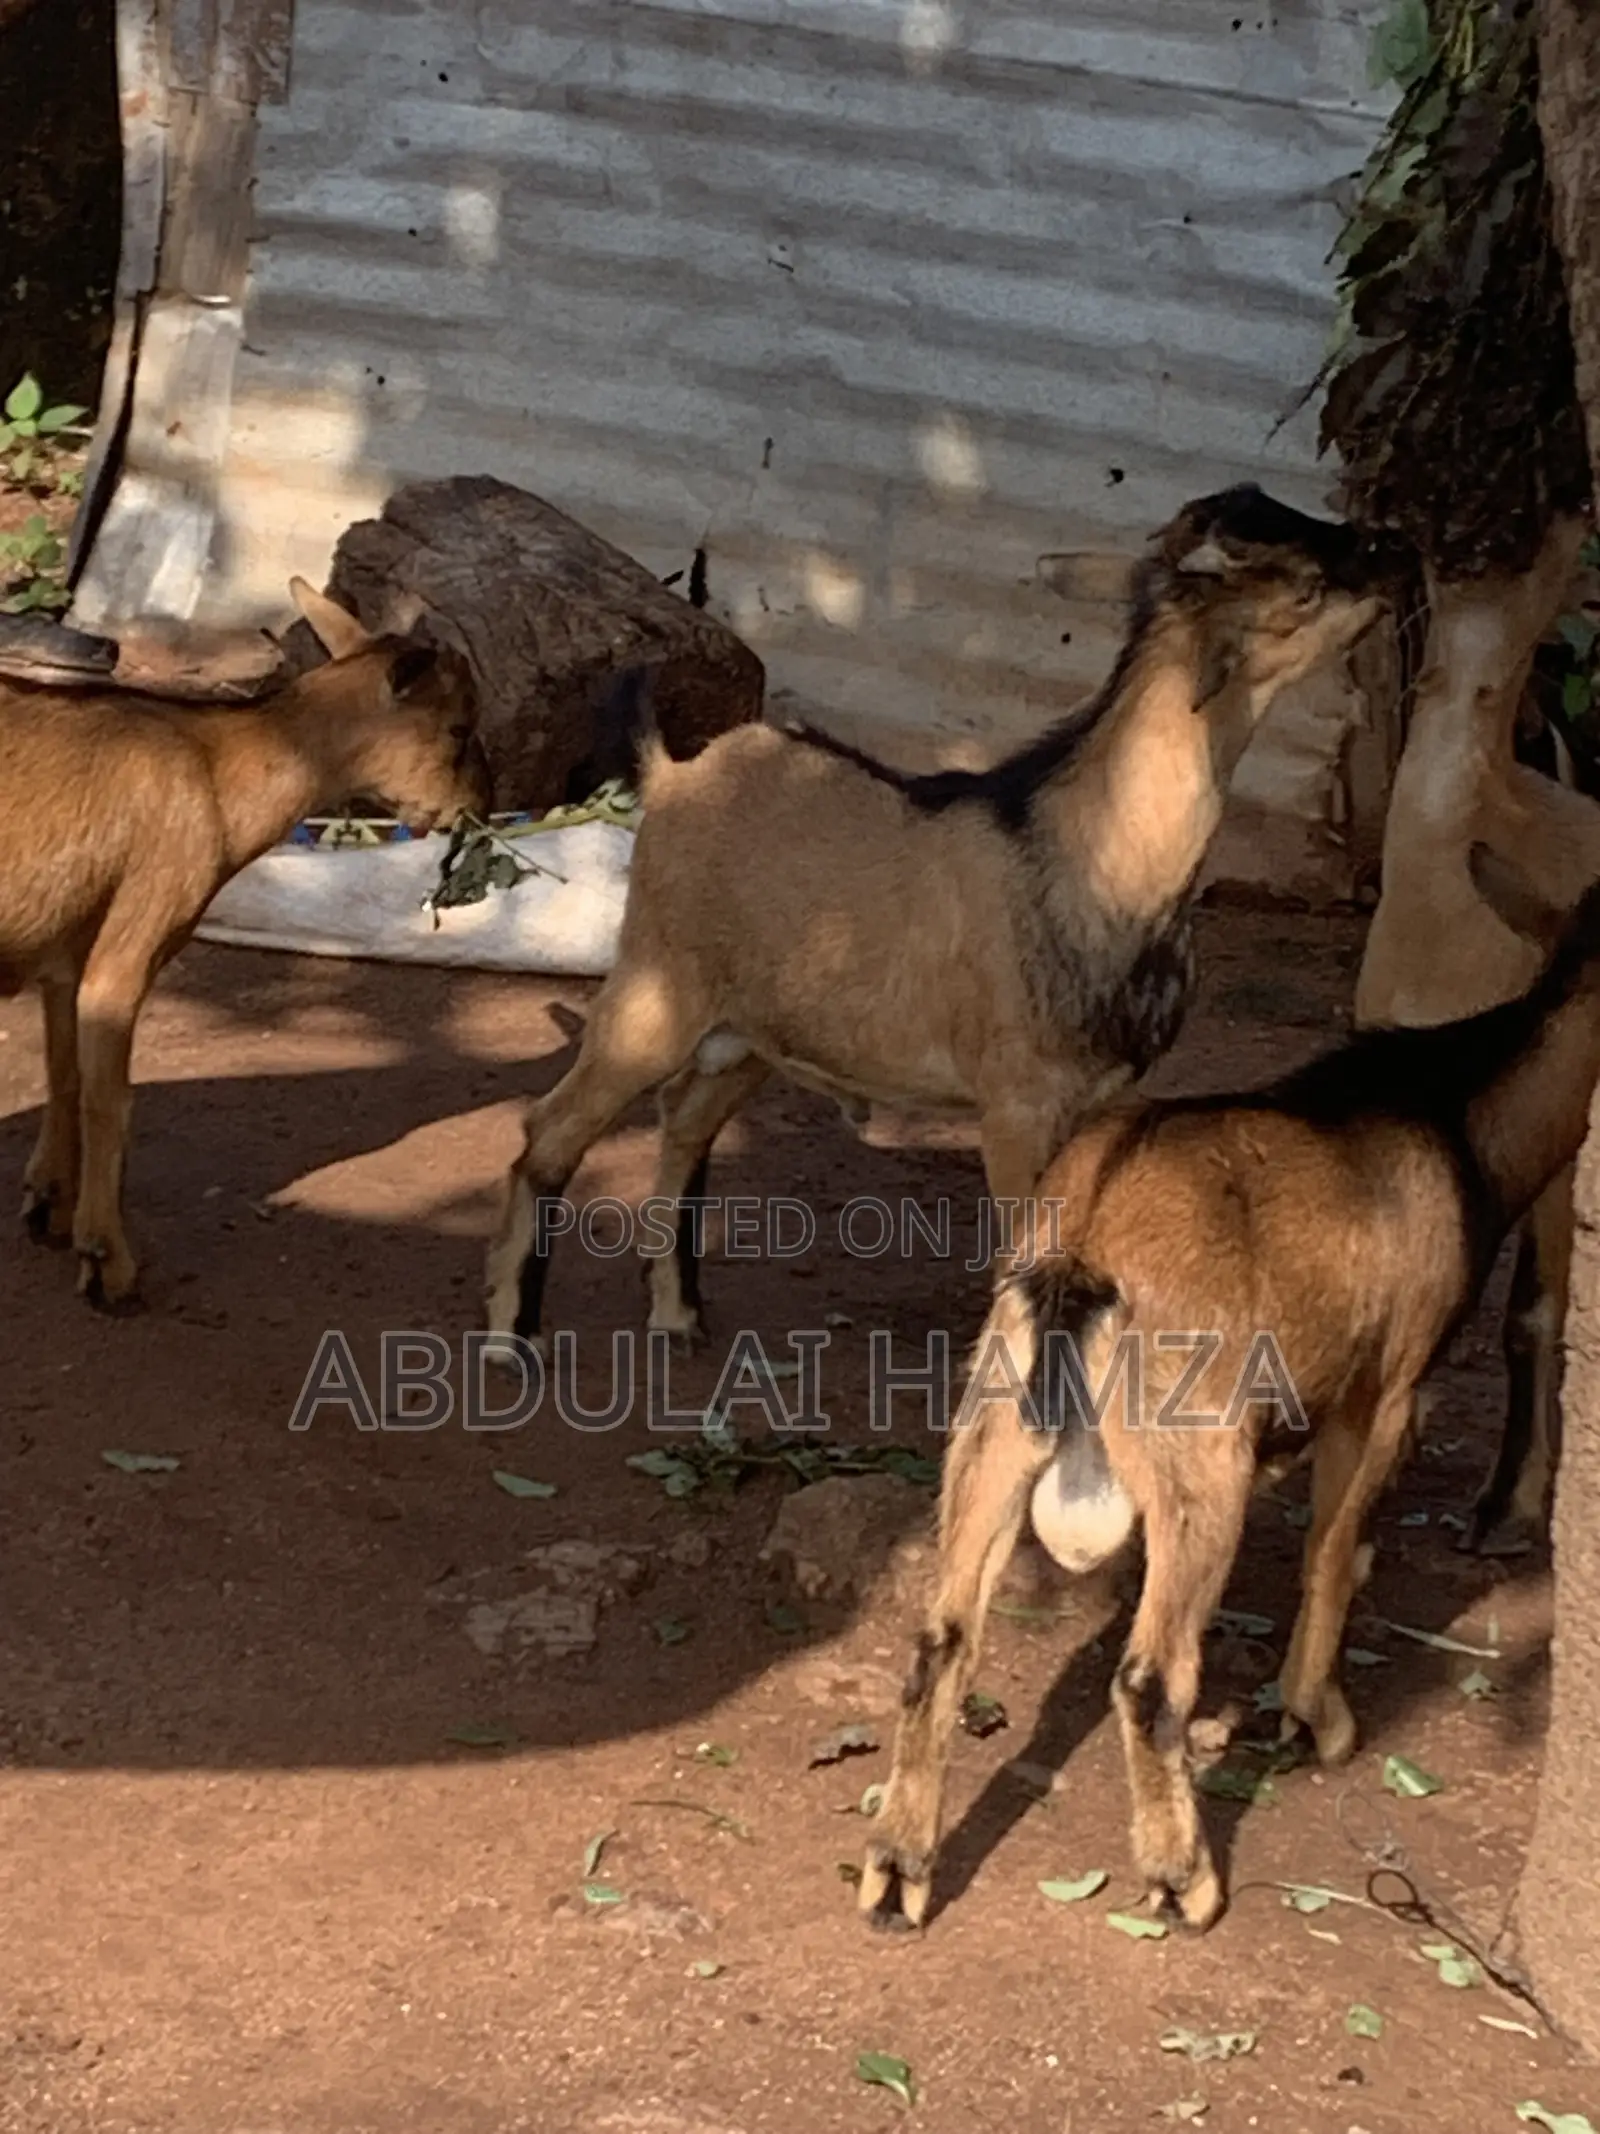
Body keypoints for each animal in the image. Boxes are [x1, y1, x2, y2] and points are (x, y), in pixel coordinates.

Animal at [1, 580, 490, 1310]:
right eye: (458, 728)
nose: (478, 807)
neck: (216, 767)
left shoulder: (71, 951)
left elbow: (65, 1075)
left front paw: (48, 1206)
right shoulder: (140, 929)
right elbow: (110, 1098)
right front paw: (107, 1263)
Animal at [484, 484, 1402, 1355]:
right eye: (1306, 587)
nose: (1392, 547)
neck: (1089, 853)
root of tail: (672, 773)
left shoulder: (1097, 1101)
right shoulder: (1019, 1105)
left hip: (750, 1033)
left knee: (684, 1123)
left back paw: (676, 1316)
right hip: (656, 988)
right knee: (551, 1130)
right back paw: (511, 1339)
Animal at [859, 838, 1600, 1939]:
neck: (1454, 1117)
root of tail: (1086, 1242)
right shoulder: (1383, 1392)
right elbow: (1333, 1550)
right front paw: (1318, 1721)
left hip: (991, 1423)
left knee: (940, 1638)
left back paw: (896, 1872)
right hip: (1196, 1463)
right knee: (1146, 1673)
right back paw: (1183, 1879)